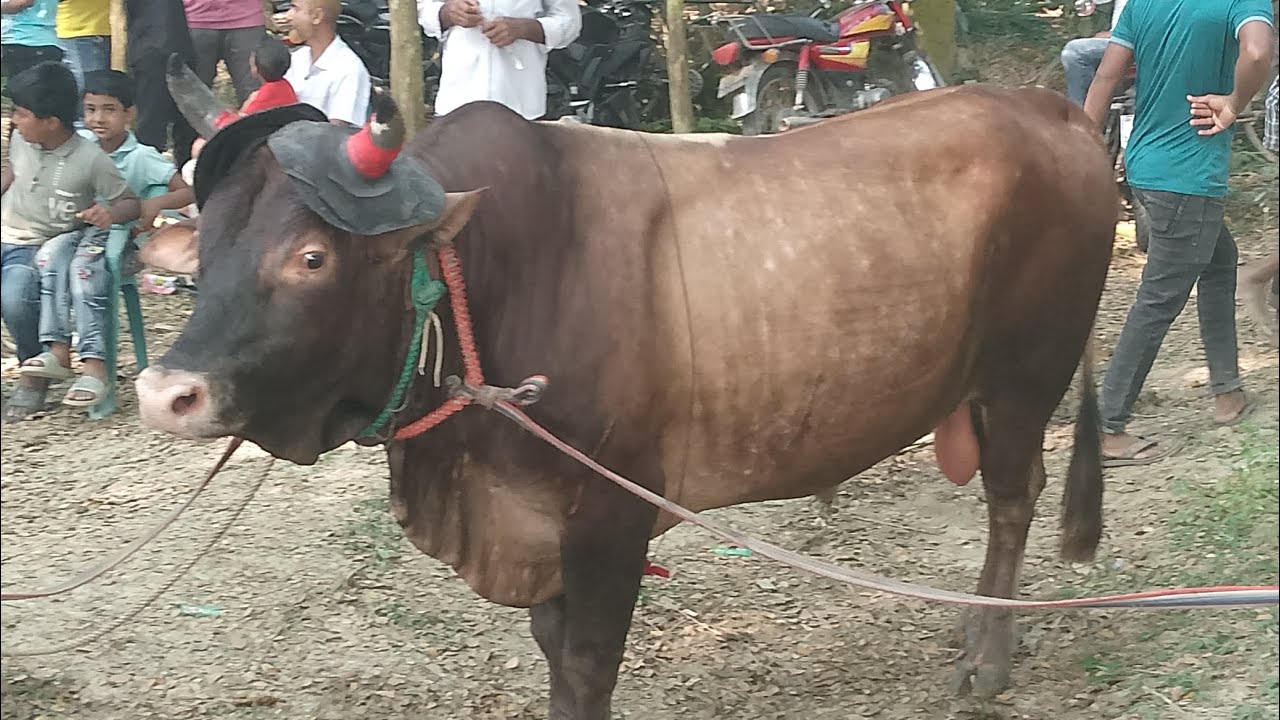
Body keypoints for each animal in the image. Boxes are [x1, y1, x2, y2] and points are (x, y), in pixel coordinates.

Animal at [136, 59, 1116, 719]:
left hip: (1027, 375)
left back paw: (987, 657)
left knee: (1013, 500)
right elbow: (554, 652)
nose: (166, 394)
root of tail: (1052, 108)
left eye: (311, 256)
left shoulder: (612, 513)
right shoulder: (536, 525)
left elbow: (589, 663)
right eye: (209, 236)